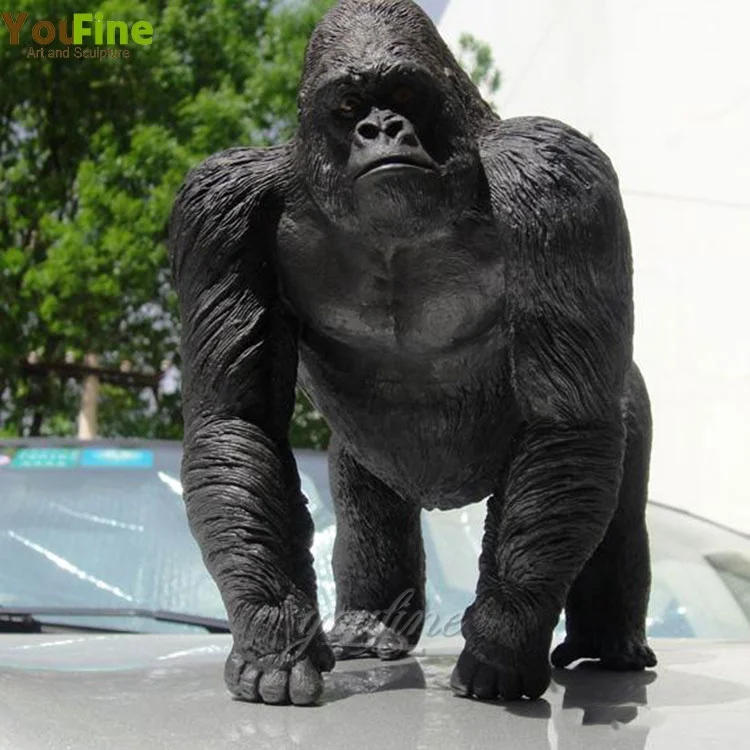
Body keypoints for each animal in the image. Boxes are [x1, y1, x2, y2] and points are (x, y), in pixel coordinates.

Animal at [169, 0, 656, 706]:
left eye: (402, 94)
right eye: (349, 106)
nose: (381, 128)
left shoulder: (556, 175)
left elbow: (565, 420)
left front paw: (503, 638)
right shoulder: (218, 208)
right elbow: (237, 421)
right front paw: (275, 634)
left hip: (632, 395)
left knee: (609, 481)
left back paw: (609, 647)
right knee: (364, 501)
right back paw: (367, 628)